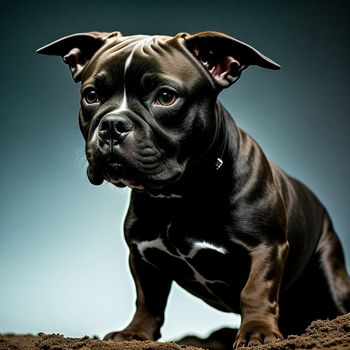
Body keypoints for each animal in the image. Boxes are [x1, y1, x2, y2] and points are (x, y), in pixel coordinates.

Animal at [38, 31, 350, 348]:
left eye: (166, 97)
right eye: (91, 96)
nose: (113, 124)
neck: (180, 195)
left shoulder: (266, 247)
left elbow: (256, 291)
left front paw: (258, 332)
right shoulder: (142, 256)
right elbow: (148, 300)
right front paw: (135, 333)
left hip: (330, 270)